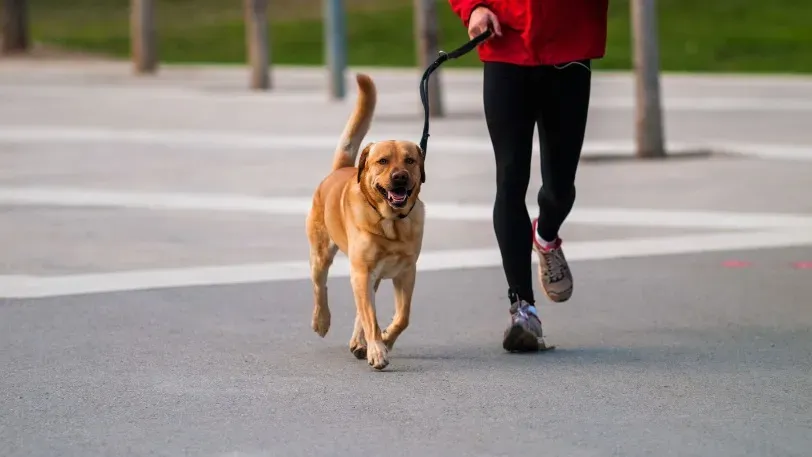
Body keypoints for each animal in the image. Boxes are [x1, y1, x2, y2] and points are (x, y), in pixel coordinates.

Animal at [304, 73, 428, 368]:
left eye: (410, 160)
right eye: (382, 161)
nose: (400, 177)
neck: (391, 222)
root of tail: (341, 168)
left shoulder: (406, 272)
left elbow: (402, 317)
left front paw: (386, 339)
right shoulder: (361, 270)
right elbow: (371, 316)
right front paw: (377, 350)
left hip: (371, 275)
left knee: (363, 308)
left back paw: (360, 343)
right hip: (322, 255)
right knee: (320, 287)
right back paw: (322, 321)